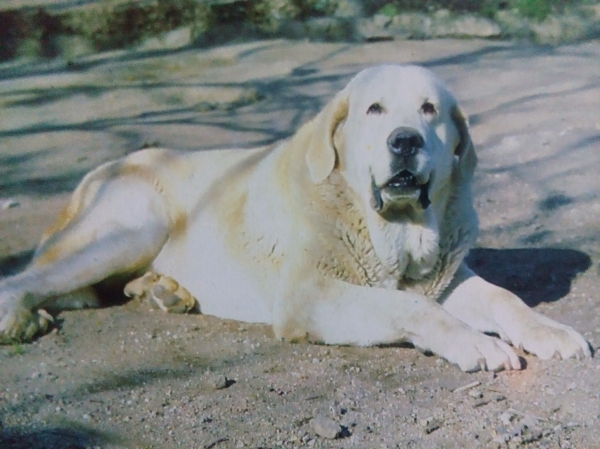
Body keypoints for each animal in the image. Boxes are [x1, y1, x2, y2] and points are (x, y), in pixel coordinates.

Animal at [1, 64, 592, 372]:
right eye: (375, 110)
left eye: (430, 110)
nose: (405, 141)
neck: (391, 231)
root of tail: (103, 167)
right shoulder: (309, 294)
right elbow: (407, 306)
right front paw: (475, 343)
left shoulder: (447, 278)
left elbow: (503, 298)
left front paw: (550, 331)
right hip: (133, 226)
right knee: (26, 279)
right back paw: (21, 318)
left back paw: (163, 292)